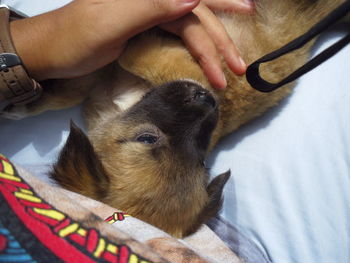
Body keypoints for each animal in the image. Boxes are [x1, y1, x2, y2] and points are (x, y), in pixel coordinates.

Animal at [1, 0, 344, 238]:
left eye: (203, 162)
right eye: (147, 138)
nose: (207, 99)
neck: (125, 101)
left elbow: (132, 54)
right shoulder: (99, 77)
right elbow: (73, 88)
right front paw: (26, 104)